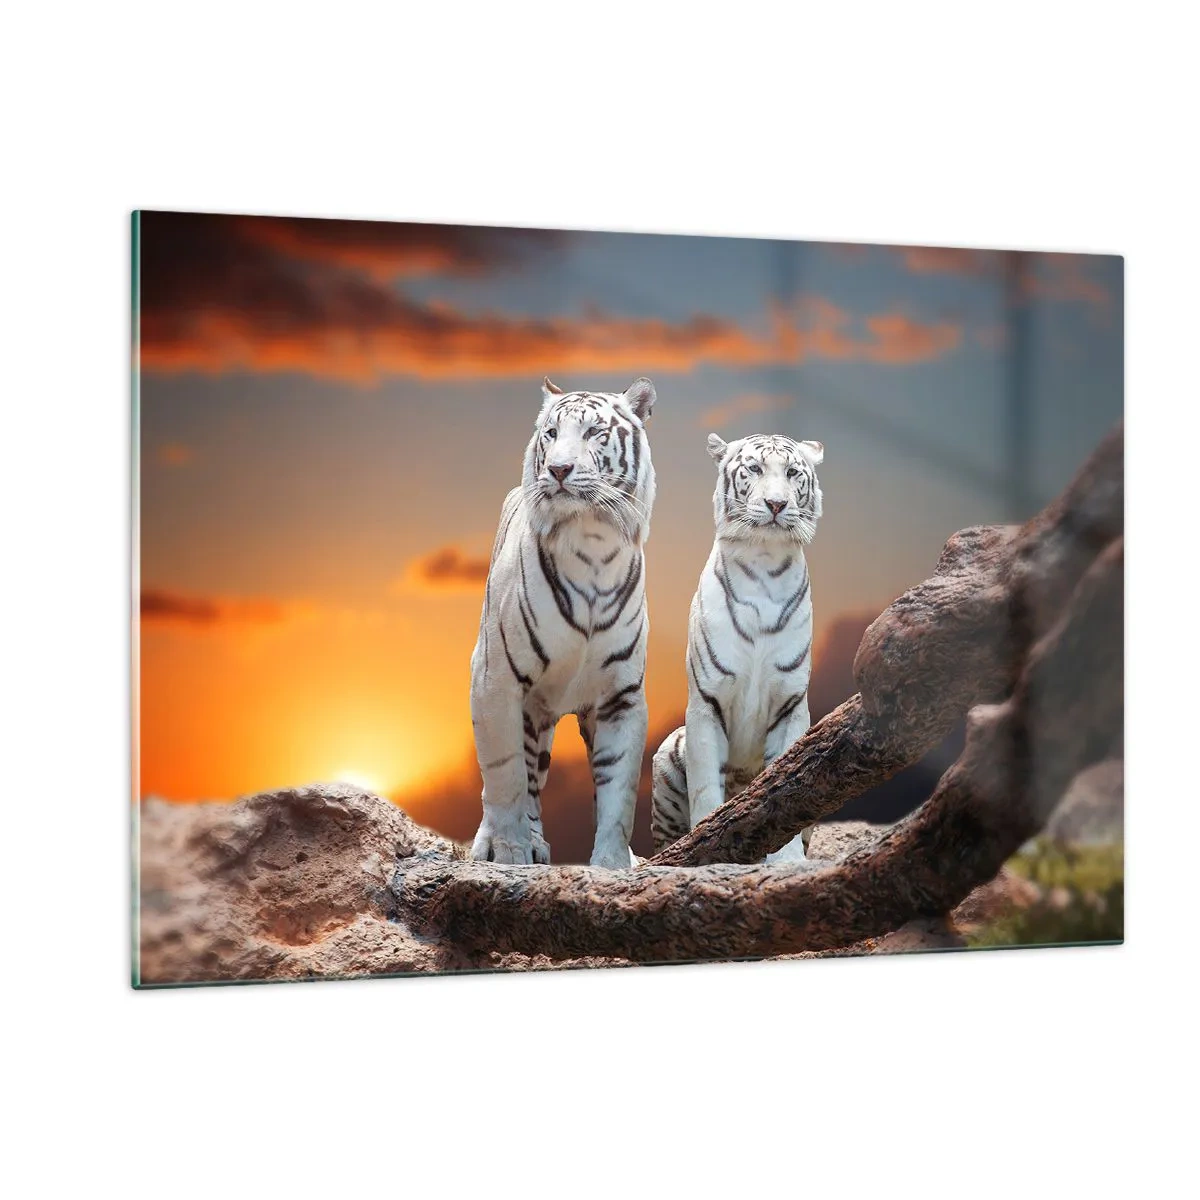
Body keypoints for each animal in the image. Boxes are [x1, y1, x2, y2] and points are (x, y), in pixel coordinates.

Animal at [469, 375, 658, 869]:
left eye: (595, 433)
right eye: (551, 434)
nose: (558, 469)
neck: (592, 543)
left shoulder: (621, 695)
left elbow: (618, 789)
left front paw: (614, 864)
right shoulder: (495, 679)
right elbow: (505, 776)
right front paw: (508, 850)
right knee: (522, 777)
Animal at [650, 431, 824, 862]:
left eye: (793, 473)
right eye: (755, 469)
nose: (777, 504)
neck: (765, 562)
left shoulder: (791, 703)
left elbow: (788, 784)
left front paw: (787, 860)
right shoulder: (706, 702)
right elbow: (705, 788)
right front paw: (705, 844)